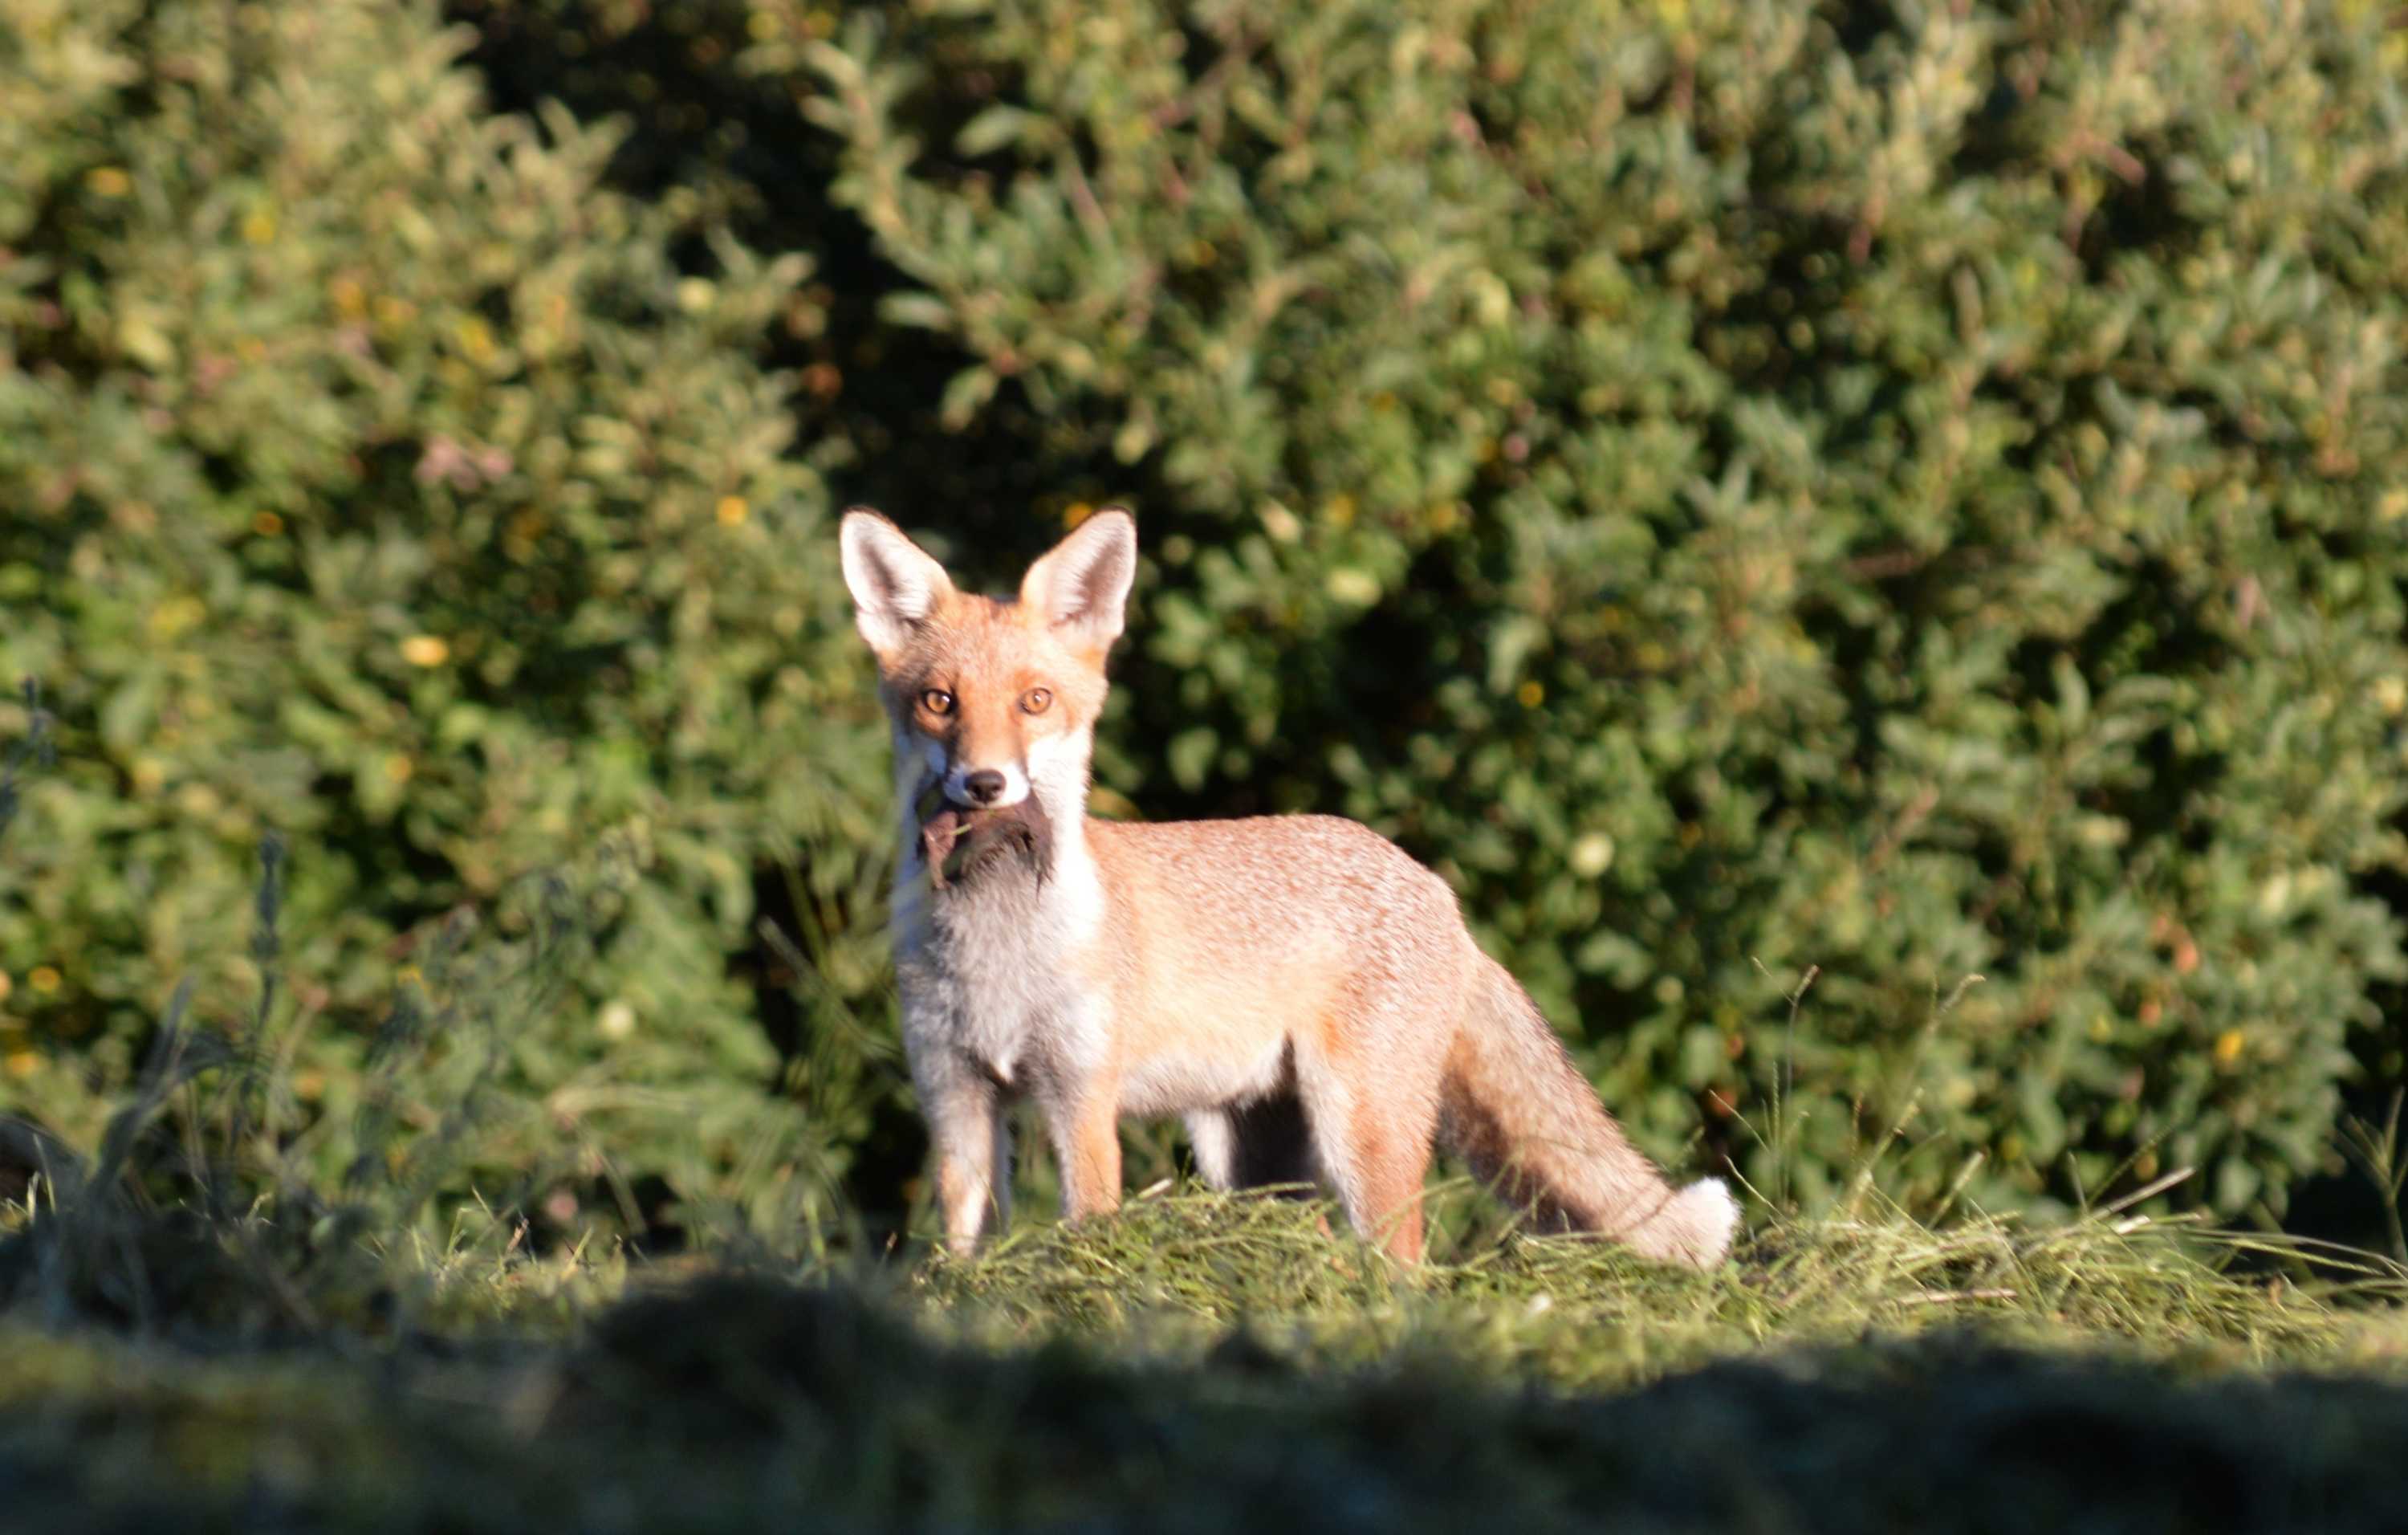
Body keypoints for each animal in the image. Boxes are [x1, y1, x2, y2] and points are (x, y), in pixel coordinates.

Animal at [840, 505, 1737, 1267]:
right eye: (939, 702)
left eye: (1035, 701)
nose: (986, 784)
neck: (995, 953)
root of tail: (1437, 890)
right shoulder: (956, 1097)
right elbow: (963, 1246)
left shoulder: (1080, 1098)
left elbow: (1087, 1226)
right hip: (1249, 1157)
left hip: (1360, 1136)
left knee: (1407, 1266)